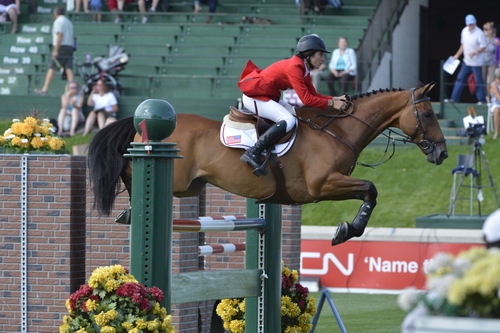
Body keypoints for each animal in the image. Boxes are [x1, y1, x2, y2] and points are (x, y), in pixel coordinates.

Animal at [88, 83, 448, 244]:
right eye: (429, 114)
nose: (442, 154)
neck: (338, 131)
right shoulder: (322, 185)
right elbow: (371, 190)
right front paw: (348, 230)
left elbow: (370, 191)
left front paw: (348, 229)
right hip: (175, 179)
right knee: (132, 167)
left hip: (191, 186)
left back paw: (129, 211)